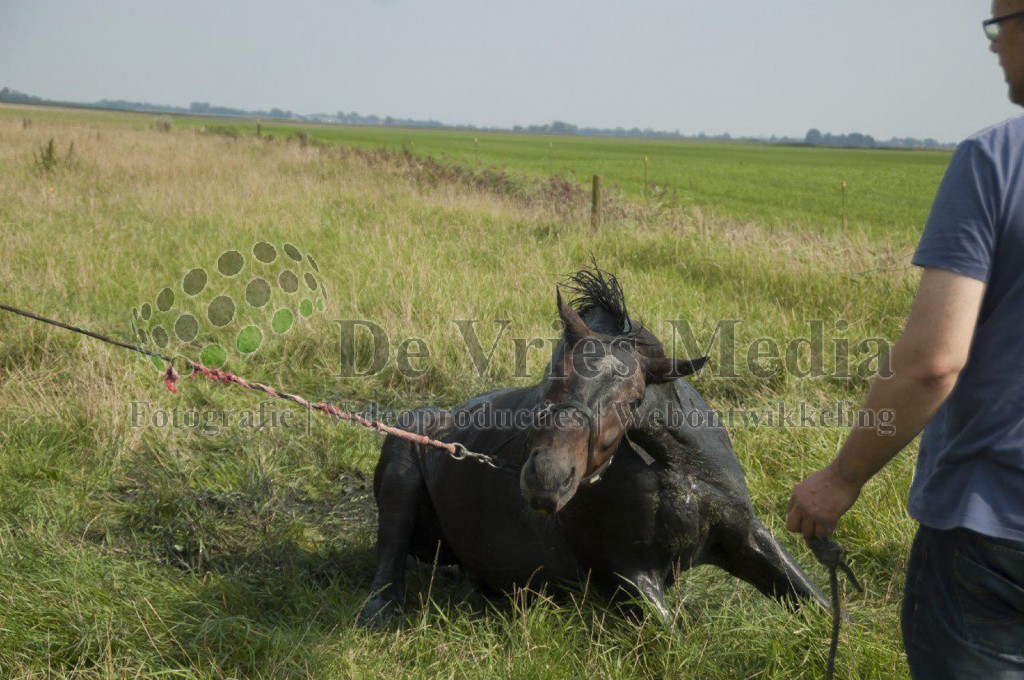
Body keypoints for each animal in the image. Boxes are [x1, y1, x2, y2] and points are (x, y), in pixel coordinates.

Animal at [356, 266, 827, 626]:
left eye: (634, 400)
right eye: (553, 370)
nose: (547, 481)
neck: (677, 472)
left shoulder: (747, 537)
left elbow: (816, 603)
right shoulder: (629, 575)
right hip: (401, 468)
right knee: (390, 553)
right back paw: (381, 610)